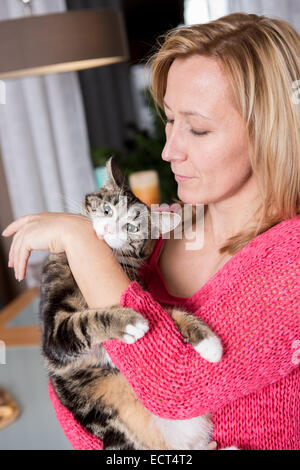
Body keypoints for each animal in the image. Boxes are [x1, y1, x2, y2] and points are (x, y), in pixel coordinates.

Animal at [39, 157, 223, 448]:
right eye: (106, 209)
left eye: (132, 227)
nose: (107, 228)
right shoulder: (54, 337)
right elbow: (84, 322)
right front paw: (131, 322)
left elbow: (170, 313)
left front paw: (210, 344)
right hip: (110, 426)